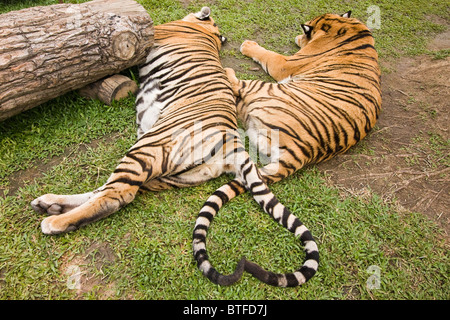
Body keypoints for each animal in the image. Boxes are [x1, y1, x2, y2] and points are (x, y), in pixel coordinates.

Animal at [30, 7, 320, 288]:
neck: (207, 33)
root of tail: (233, 141)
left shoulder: (155, 32)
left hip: (147, 148)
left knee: (117, 195)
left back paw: (54, 222)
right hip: (169, 174)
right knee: (106, 190)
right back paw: (49, 204)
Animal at [192, 10, 382, 286]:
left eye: (305, 31)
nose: (297, 37)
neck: (350, 28)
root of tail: (301, 155)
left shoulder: (285, 65)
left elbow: (268, 55)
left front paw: (248, 45)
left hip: (266, 90)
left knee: (237, 88)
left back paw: (225, 70)